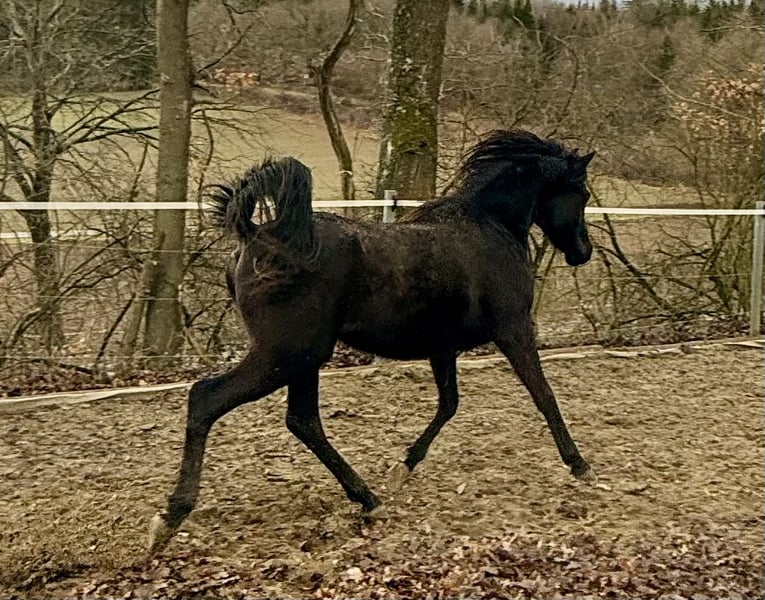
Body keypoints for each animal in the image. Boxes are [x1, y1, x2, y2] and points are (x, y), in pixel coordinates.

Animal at [148, 129, 596, 552]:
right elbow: (544, 396)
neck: (490, 227)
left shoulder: (442, 346)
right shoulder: (514, 330)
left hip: (304, 358)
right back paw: (169, 519)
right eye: (583, 193)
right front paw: (579, 465)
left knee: (303, 422)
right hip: (286, 355)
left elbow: (449, 405)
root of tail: (258, 238)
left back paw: (369, 499)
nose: (584, 252)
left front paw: (403, 468)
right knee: (207, 398)